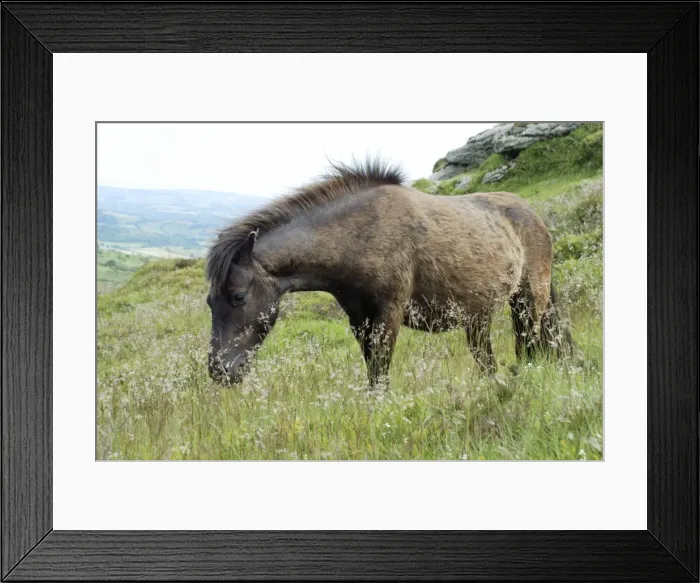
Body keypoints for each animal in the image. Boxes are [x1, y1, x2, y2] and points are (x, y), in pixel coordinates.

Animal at [206, 158, 571, 386]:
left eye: (238, 296)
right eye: (210, 302)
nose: (219, 371)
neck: (359, 236)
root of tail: (532, 216)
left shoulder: (388, 315)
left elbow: (379, 373)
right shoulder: (359, 320)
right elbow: (372, 372)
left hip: (528, 304)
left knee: (529, 346)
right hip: (478, 318)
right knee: (488, 361)